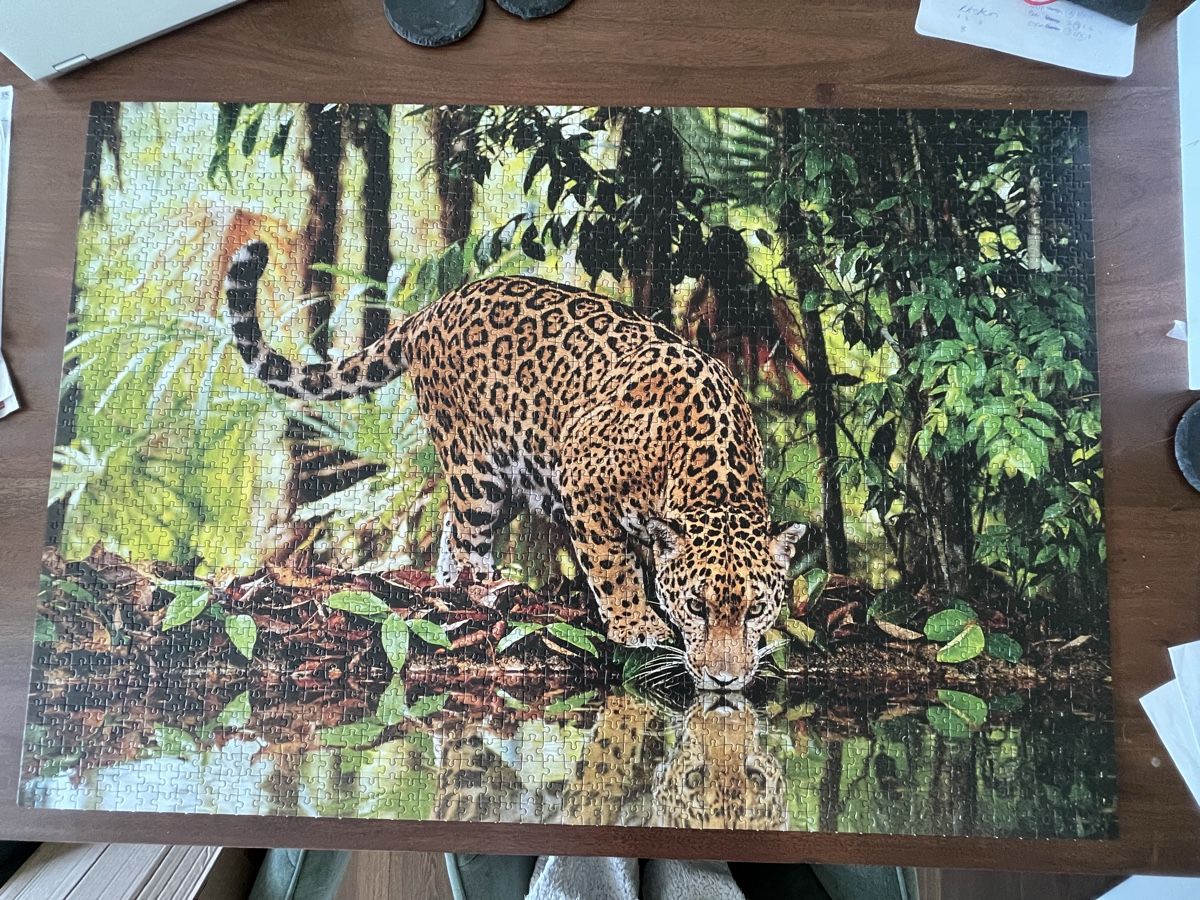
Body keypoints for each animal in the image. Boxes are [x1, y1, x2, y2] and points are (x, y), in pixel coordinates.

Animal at [225, 241, 806, 690]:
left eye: (756, 609)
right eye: (698, 607)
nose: (724, 680)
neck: (707, 471)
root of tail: (433, 308)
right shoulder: (583, 481)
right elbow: (613, 568)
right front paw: (636, 623)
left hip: (508, 479)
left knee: (449, 526)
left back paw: (449, 588)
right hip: (475, 466)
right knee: (467, 534)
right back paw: (481, 591)